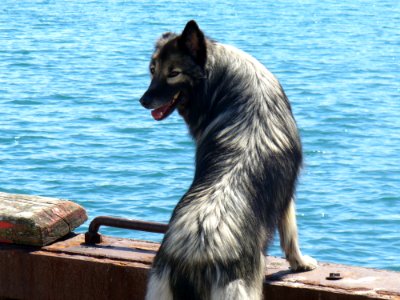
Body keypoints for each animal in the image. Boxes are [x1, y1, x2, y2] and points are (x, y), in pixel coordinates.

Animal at [139, 19, 318, 298]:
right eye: (153, 70)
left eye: (173, 73)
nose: (143, 100)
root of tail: (192, 260)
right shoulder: (286, 196)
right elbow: (291, 235)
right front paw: (300, 263)